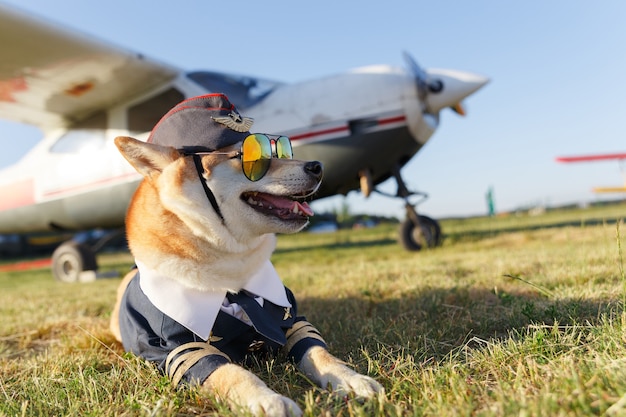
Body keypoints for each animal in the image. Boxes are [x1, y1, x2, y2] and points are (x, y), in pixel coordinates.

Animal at [109, 95, 380, 416]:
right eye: (248, 158)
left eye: (282, 149)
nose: (318, 166)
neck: (233, 274)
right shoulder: (178, 348)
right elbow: (233, 373)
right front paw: (268, 400)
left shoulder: (292, 320)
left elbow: (319, 352)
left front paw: (351, 379)